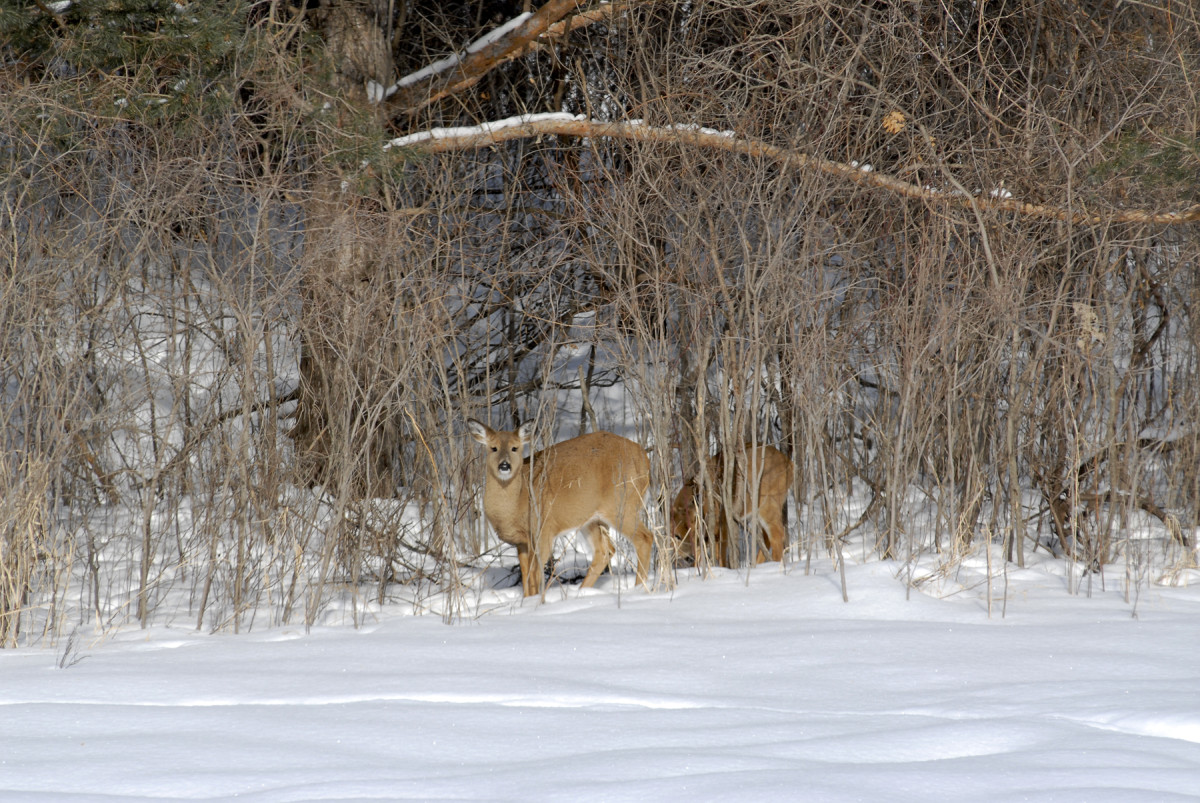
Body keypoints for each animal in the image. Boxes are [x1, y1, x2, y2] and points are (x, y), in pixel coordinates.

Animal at [468, 420, 657, 595]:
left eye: (515, 448)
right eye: (493, 448)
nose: (504, 465)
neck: (517, 503)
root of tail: (645, 458)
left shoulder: (544, 531)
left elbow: (535, 575)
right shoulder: (521, 542)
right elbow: (526, 578)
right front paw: (527, 601)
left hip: (622, 503)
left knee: (645, 537)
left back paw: (639, 588)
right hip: (591, 518)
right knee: (606, 550)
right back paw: (582, 592)